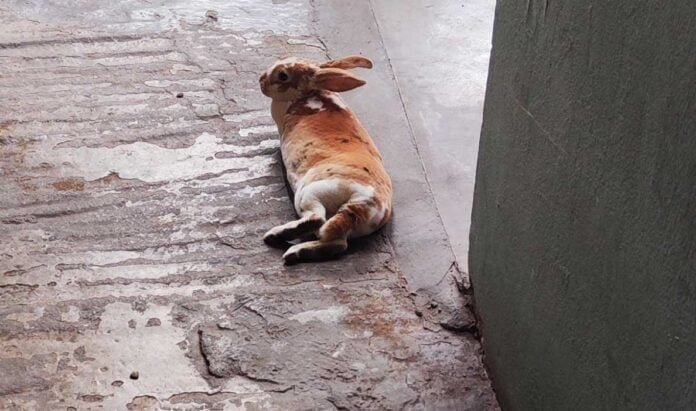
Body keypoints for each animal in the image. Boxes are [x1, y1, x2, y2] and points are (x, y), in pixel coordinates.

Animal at [259, 55, 392, 264]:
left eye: (283, 75)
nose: (261, 81)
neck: (309, 94)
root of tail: (365, 202)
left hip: (309, 193)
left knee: (317, 219)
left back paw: (276, 236)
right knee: (337, 244)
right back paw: (296, 252)